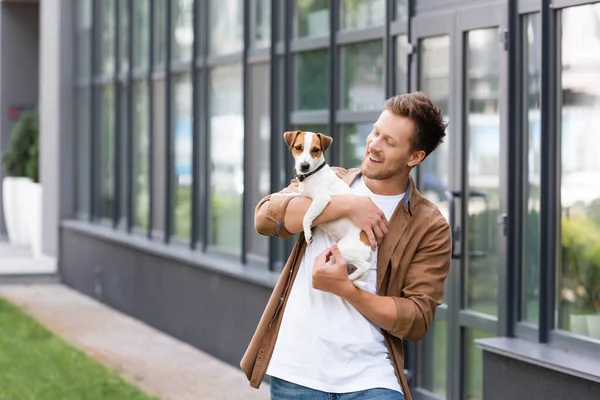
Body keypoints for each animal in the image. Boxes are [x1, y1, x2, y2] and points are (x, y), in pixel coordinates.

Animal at [284, 130, 372, 290]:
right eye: (298, 147)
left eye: (315, 150)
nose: (304, 166)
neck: (311, 175)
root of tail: (369, 245)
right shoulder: (302, 196)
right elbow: (292, 196)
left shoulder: (321, 199)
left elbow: (306, 216)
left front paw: (308, 234)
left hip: (345, 249)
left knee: (365, 266)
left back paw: (348, 278)